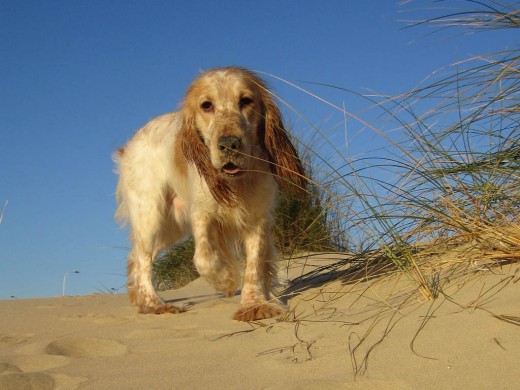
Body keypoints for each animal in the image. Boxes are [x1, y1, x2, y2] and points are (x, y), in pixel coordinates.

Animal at [114, 67, 304, 322]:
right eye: (206, 105)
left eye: (246, 101)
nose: (229, 144)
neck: (236, 183)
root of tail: (129, 145)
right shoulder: (202, 214)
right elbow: (203, 259)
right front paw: (227, 280)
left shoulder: (257, 218)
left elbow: (255, 265)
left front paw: (254, 304)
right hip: (150, 214)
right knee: (143, 257)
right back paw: (154, 304)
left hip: (172, 225)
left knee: (135, 257)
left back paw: (141, 300)